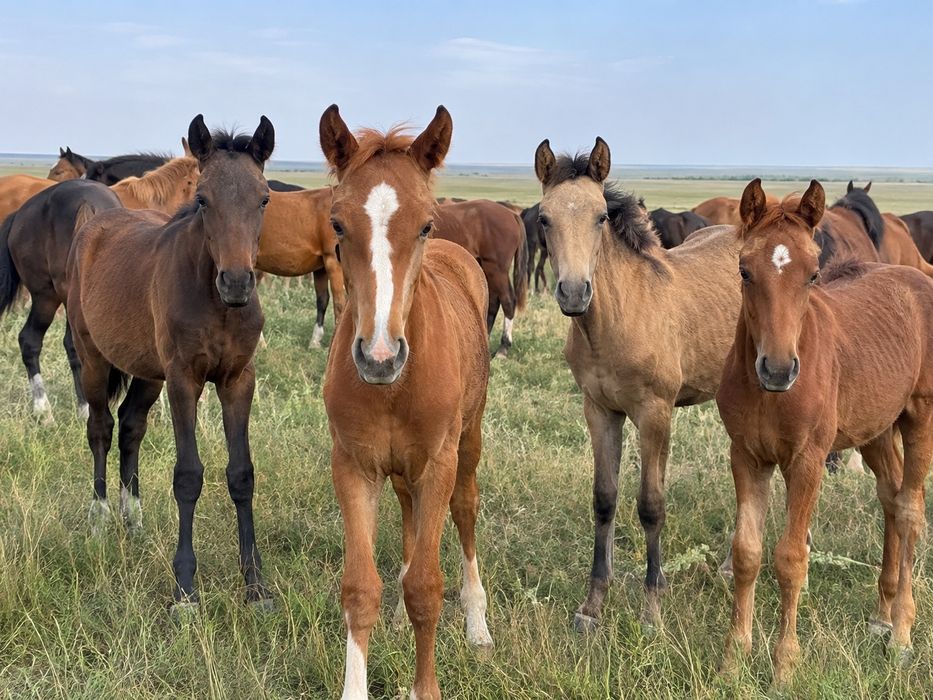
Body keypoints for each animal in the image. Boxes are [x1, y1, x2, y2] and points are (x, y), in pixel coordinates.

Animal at [65, 114, 275, 612]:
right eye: (202, 199)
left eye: (263, 197)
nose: (237, 283)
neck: (217, 306)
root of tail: (95, 225)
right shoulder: (184, 381)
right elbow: (188, 476)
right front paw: (185, 591)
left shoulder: (238, 380)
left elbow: (242, 474)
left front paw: (255, 586)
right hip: (94, 358)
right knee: (100, 428)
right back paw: (101, 520)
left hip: (147, 374)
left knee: (130, 427)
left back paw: (134, 521)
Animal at [320, 104, 493, 700]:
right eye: (337, 224)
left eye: (425, 223)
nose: (378, 356)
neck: (394, 389)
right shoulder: (354, 466)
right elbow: (359, 588)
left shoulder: (438, 462)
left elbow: (426, 586)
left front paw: (426, 688)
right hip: (399, 471)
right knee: (410, 517)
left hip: (468, 443)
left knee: (464, 513)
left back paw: (478, 623)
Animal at [534, 137, 744, 630]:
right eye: (544, 218)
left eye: (600, 216)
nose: (574, 293)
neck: (619, 318)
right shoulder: (599, 410)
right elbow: (604, 499)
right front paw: (592, 605)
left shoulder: (653, 412)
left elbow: (650, 505)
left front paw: (652, 611)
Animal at [716, 178, 933, 686]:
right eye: (744, 271)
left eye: (814, 274)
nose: (777, 370)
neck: (769, 396)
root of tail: (918, 277)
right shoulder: (747, 457)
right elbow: (747, 553)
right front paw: (734, 662)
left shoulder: (808, 461)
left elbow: (791, 559)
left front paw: (784, 667)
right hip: (876, 430)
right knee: (891, 496)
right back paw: (880, 615)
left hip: (920, 416)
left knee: (911, 508)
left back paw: (901, 634)